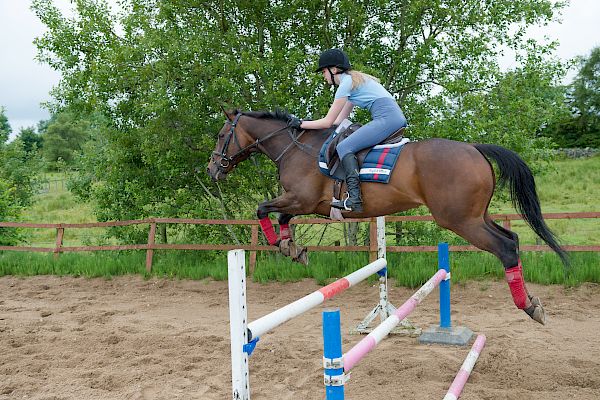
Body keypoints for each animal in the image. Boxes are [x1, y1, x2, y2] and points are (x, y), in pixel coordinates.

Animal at [209, 107, 568, 324]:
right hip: (476, 215)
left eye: (222, 135)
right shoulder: (305, 204)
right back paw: (532, 301)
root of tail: (475, 148)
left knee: (505, 247)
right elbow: (282, 218)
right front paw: (292, 248)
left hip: (460, 220)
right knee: (513, 238)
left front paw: (285, 247)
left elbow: (263, 208)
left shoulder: (302, 200)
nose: (213, 169)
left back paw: (529, 307)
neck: (296, 148)